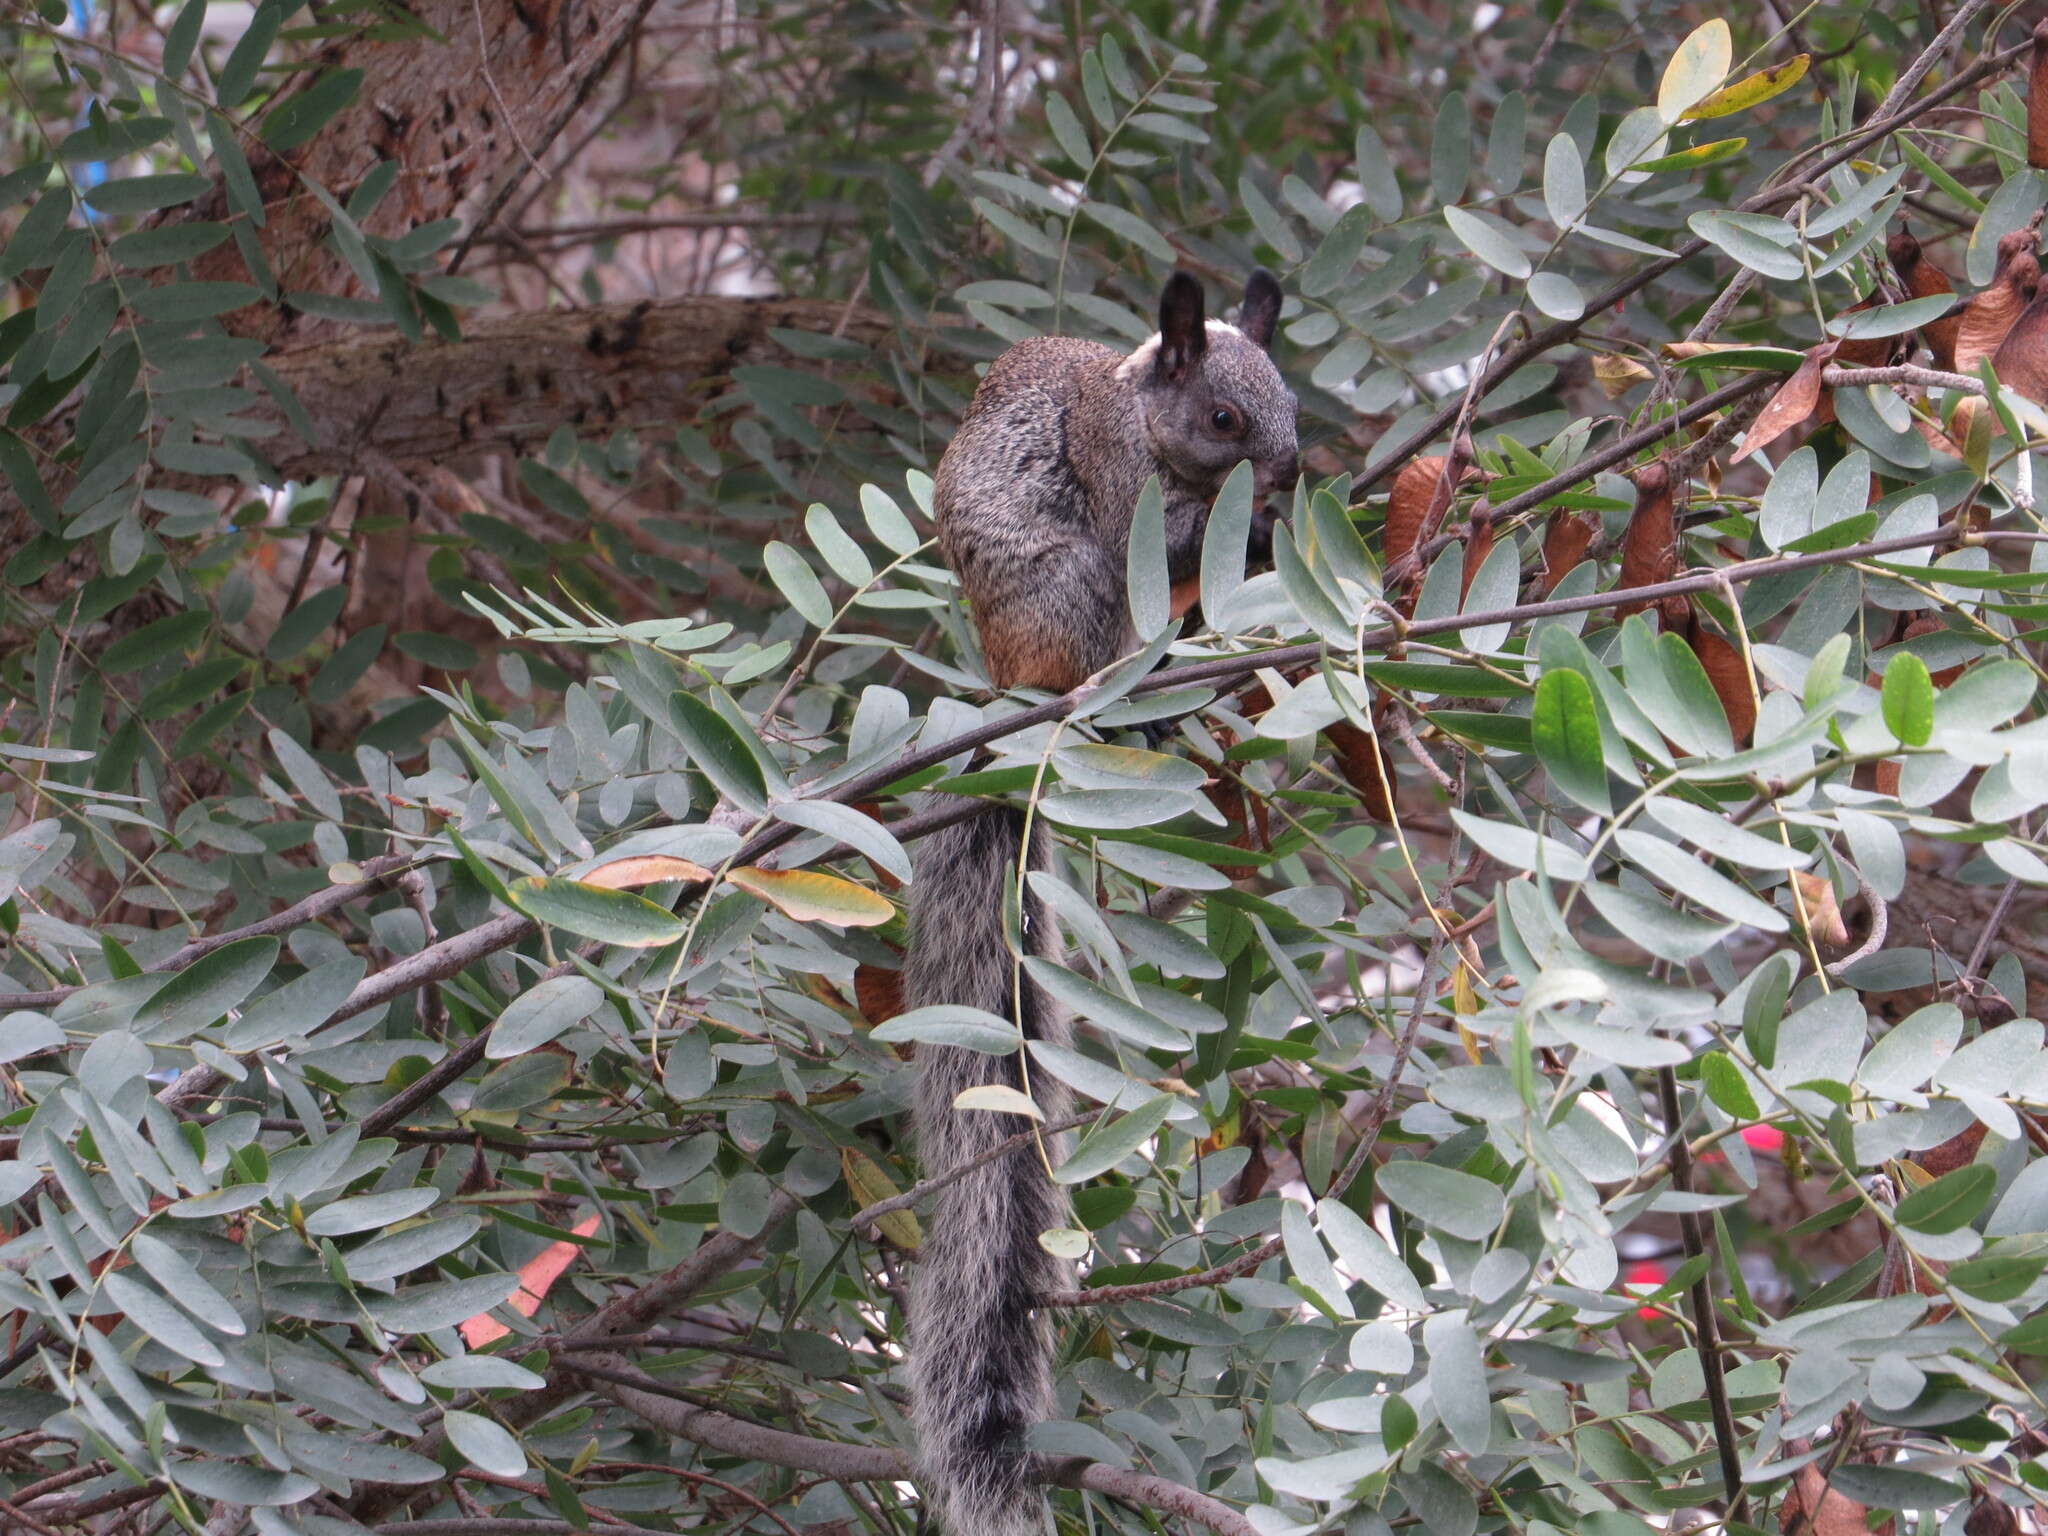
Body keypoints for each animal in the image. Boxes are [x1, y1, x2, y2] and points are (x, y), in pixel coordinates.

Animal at [909, 270, 1294, 1536]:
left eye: (1292, 405)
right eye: (1223, 416)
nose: (1289, 475)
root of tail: (1011, 684)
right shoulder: (1115, 470)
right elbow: (1158, 521)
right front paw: (1241, 528)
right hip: (1077, 589)